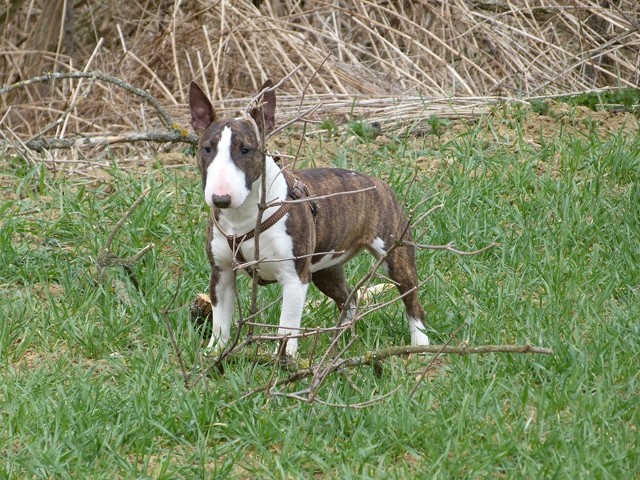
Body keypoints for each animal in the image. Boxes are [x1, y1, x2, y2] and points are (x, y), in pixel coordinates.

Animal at [188, 79, 430, 357]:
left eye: (246, 150)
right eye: (207, 149)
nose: (220, 199)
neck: (243, 217)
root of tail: (379, 183)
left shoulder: (294, 278)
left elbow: (286, 327)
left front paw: (282, 360)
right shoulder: (222, 273)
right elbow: (220, 322)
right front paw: (213, 354)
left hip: (395, 255)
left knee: (412, 300)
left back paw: (420, 345)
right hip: (326, 269)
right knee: (348, 298)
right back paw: (341, 339)